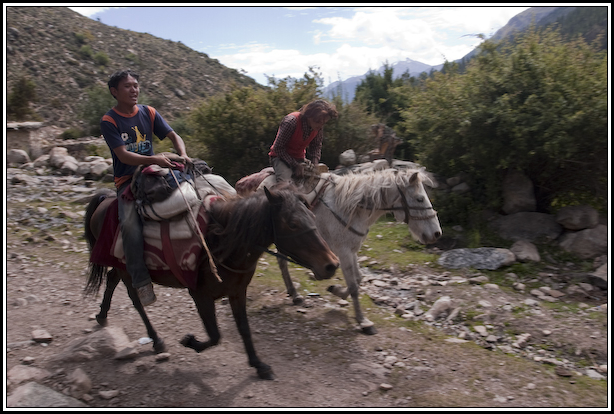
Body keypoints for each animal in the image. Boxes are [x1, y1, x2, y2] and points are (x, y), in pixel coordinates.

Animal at [83, 184, 340, 378]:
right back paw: (156, 339)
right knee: (135, 299)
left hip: (120, 267)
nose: (331, 264)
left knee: (111, 279)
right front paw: (190, 341)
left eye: (312, 216)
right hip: (129, 270)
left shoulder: (237, 292)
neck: (223, 242)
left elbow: (244, 329)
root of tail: (107, 199)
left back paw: (102, 315)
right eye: (292, 224)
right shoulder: (200, 295)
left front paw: (258, 365)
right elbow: (215, 335)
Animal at [276, 167, 442, 334]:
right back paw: (294, 294)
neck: (349, 208)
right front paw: (363, 321)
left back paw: (294, 293)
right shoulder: (344, 252)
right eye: (420, 199)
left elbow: (358, 279)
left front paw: (338, 291)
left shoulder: (352, 250)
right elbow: (354, 286)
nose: (436, 234)